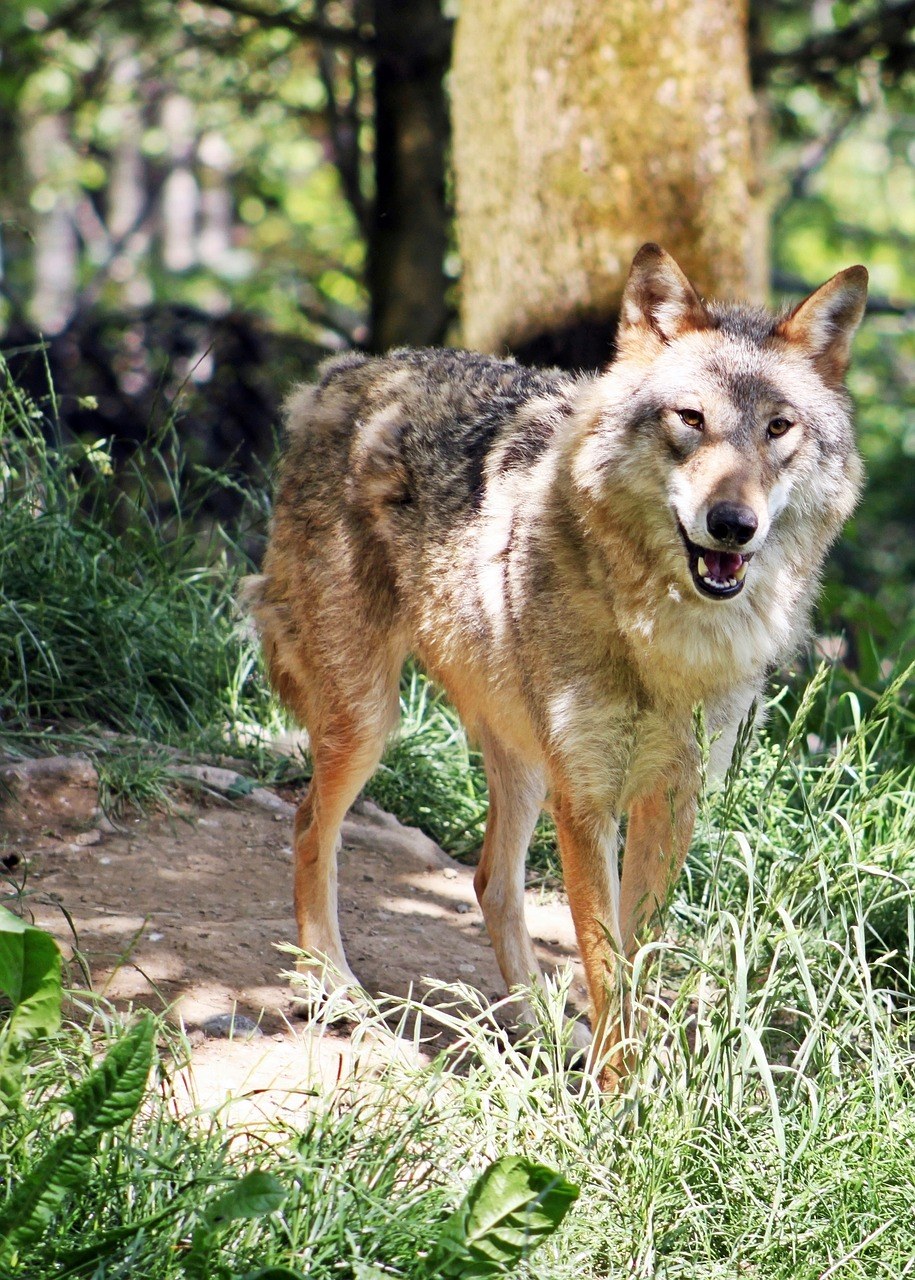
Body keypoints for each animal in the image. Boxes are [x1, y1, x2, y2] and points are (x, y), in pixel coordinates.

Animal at [243, 247, 865, 1080]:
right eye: (690, 419)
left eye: (777, 428)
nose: (731, 525)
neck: (662, 642)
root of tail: (345, 373)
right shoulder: (587, 798)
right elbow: (602, 960)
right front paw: (621, 1095)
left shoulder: (671, 798)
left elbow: (636, 956)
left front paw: (635, 1081)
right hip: (372, 720)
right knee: (312, 823)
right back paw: (336, 988)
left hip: (522, 757)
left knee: (488, 881)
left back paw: (544, 1030)